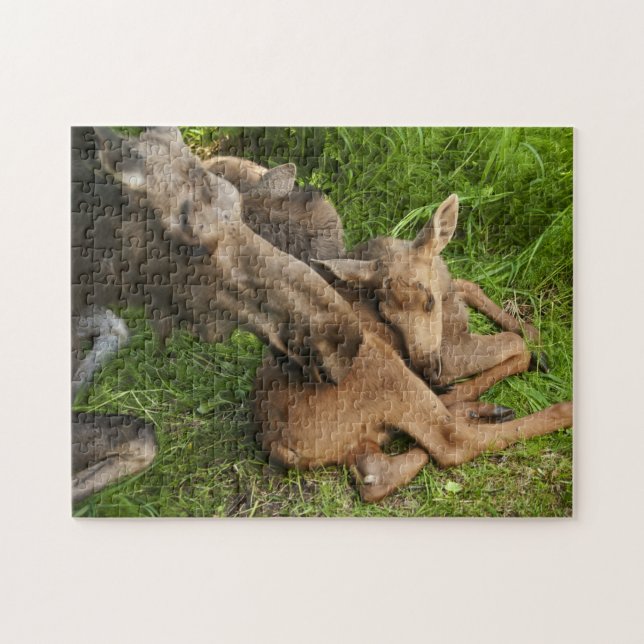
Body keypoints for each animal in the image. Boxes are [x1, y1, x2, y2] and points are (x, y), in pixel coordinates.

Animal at [72, 127, 572, 504]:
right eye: (388, 312)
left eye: (427, 301)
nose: (428, 368)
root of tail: (280, 446)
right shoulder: (450, 352)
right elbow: (513, 346)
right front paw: (535, 346)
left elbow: (479, 293)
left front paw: (526, 325)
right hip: (381, 370)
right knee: (447, 444)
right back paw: (545, 410)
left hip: (366, 426)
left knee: (376, 471)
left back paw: (473, 407)